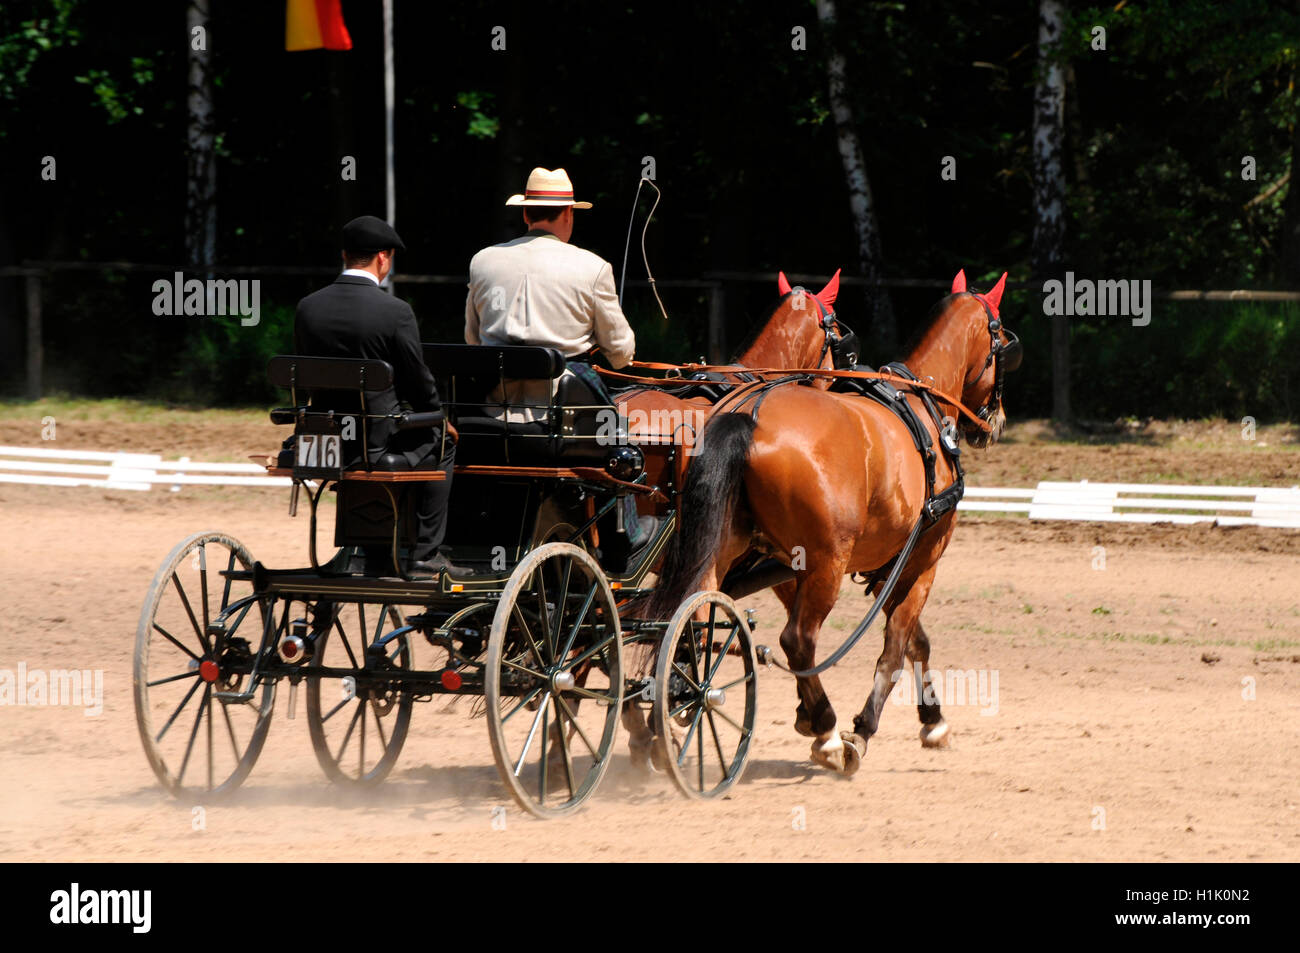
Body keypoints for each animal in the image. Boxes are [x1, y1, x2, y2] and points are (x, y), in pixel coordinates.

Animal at [644, 269, 1019, 774]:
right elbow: (896, 647)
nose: (993, 423)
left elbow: (915, 641)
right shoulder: (922, 559)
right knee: (798, 638)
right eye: (1002, 346)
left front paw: (932, 719)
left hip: (723, 549)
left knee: (691, 612)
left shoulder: (879, 565)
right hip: (826, 562)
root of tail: (750, 414)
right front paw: (861, 729)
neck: (922, 401)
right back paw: (827, 734)